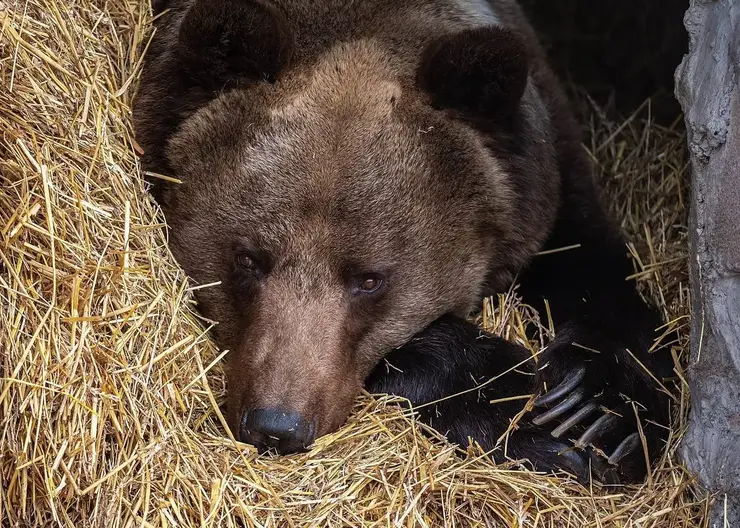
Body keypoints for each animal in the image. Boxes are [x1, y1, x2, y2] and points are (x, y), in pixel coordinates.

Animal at [133, 0, 676, 484]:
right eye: (248, 259)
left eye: (370, 279)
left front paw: (594, 413)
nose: (276, 424)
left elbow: (595, 273)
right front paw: (537, 416)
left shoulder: (546, 176)